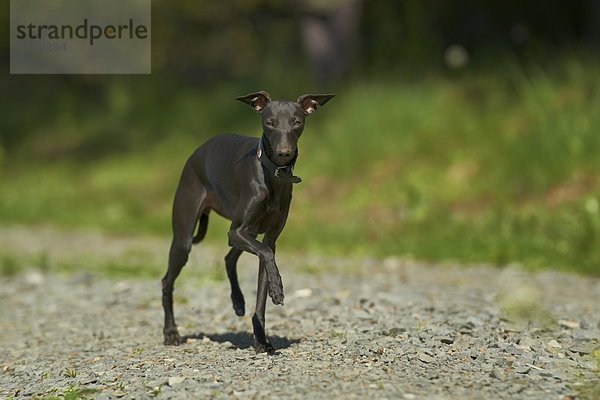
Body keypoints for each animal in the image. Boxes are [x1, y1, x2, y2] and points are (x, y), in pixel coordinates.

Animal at [162, 91, 336, 354]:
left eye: (296, 122)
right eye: (270, 123)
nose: (284, 153)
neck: (272, 175)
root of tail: (197, 151)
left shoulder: (267, 238)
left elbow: (263, 287)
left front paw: (261, 339)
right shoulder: (237, 232)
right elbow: (267, 256)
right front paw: (278, 289)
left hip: (248, 232)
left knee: (229, 258)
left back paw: (238, 301)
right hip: (185, 238)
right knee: (167, 281)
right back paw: (171, 332)